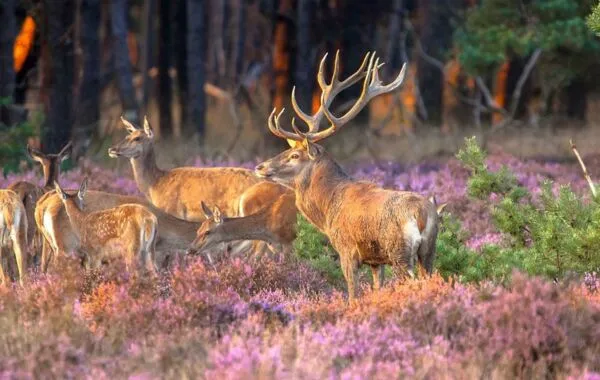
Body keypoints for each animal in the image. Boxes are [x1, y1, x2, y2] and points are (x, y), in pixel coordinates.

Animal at [255, 52, 438, 302]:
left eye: (294, 155)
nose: (260, 166)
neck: (327, 208)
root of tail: (421, 213)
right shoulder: (375, 260)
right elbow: (377, 287)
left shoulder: (347, 249)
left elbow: (352, 294)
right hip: (428, 251)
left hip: (399, 251)